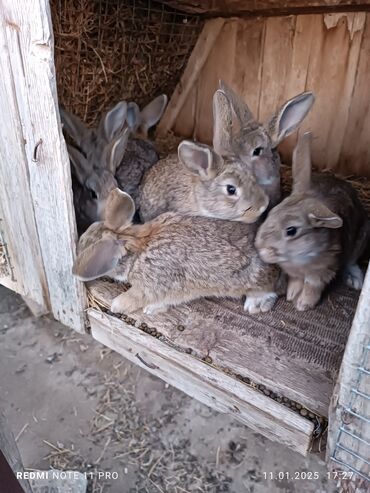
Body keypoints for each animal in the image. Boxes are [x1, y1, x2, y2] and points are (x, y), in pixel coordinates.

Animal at [254, 133, 370, 310]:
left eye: (291, 230)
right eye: (272, 212)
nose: (259, 246)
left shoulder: (321, 272)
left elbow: (312, 287)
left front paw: (303, 305)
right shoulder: (294, 273)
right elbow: (296, 281)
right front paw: (291, 295)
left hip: (362, 238)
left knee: (351, 262)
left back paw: (355, 280)